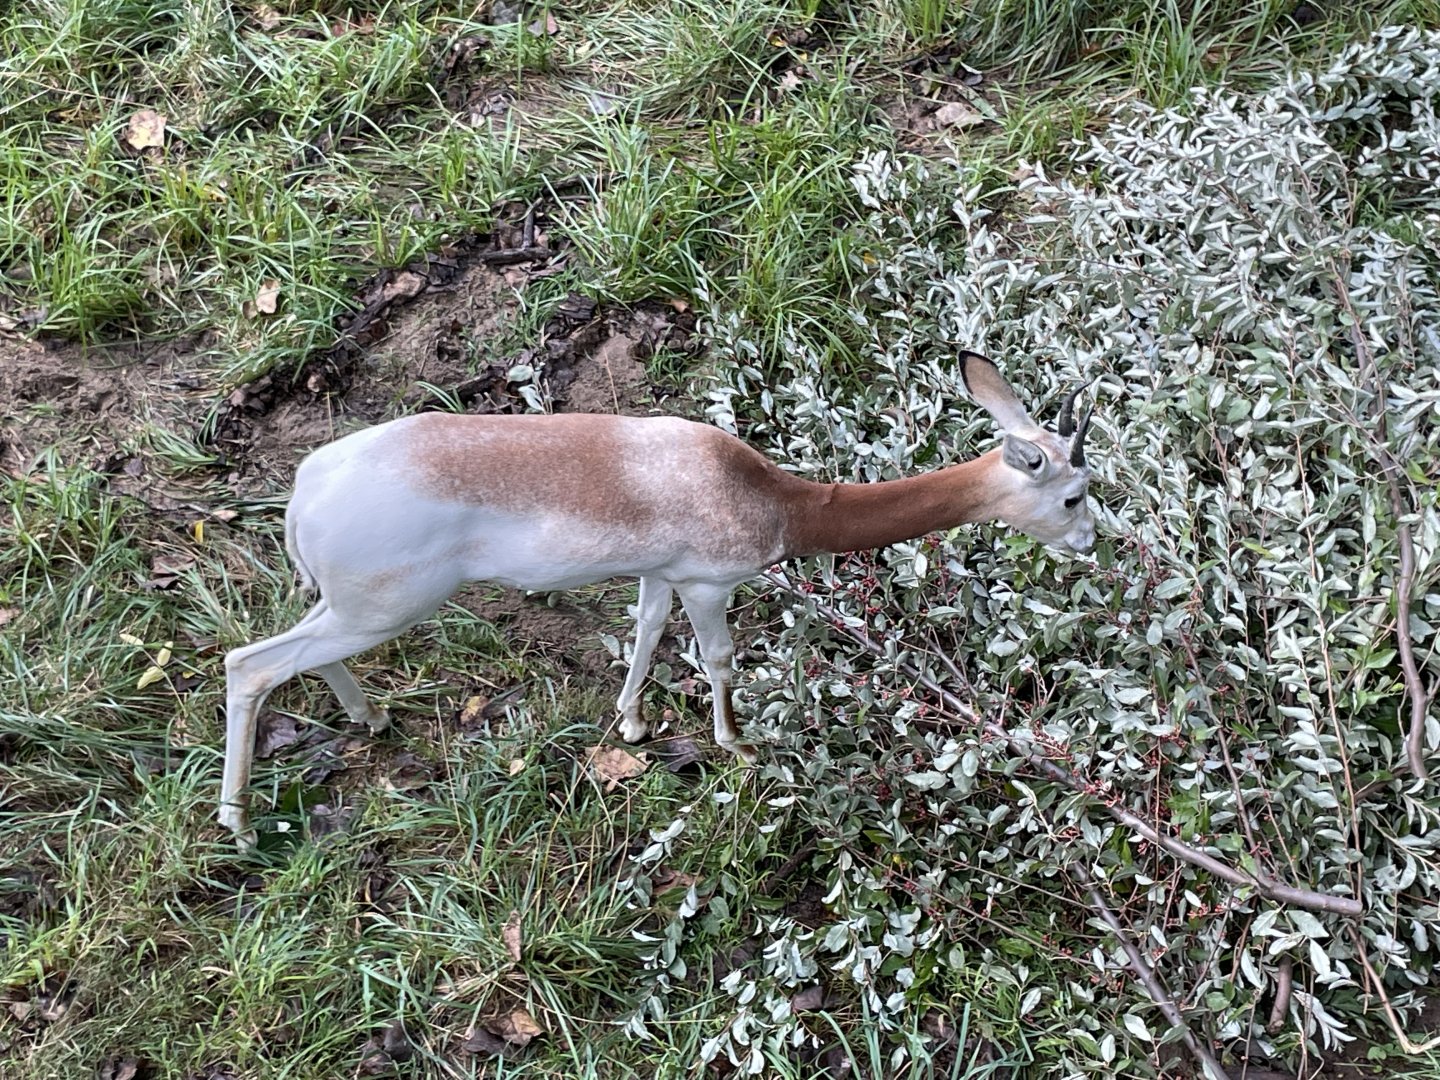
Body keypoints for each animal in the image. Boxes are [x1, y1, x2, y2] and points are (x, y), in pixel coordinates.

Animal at [219, 352, 1095, 845]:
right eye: (1076, 494)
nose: (1090, 545)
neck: (776, 499)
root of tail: (306, 486)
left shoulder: (660, 575)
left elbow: (644, 633)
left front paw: (634, 724)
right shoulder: (709, 584)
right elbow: (719, 659)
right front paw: (738, 746)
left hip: (350, 609)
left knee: (297, 657)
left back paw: (365, 717)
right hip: (381, 610)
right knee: (249, 665)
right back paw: (238, 820)